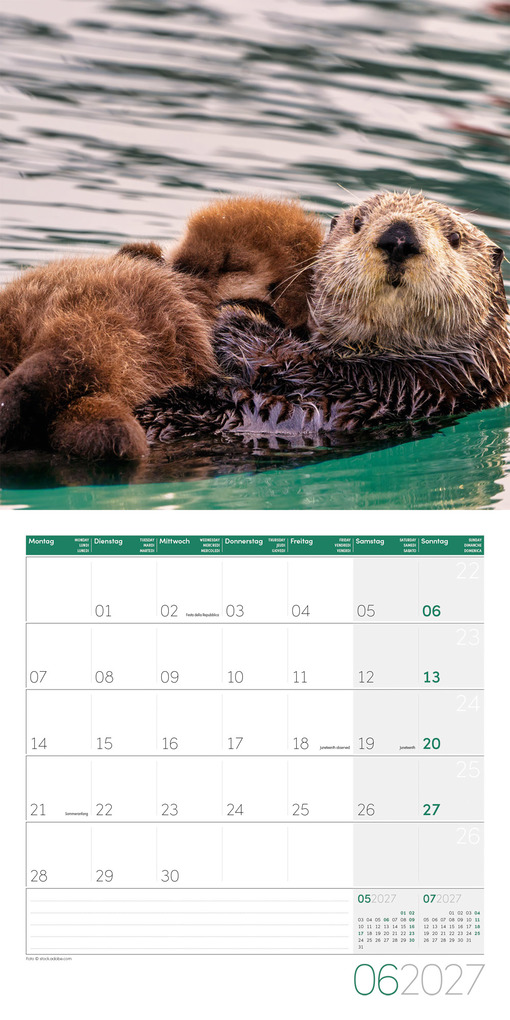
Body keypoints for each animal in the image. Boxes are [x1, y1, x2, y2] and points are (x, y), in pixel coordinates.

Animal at [140, 192, 510, 441]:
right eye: (358, 223)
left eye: (455, 238)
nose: (399, 237)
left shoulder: (410, 386)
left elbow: (295, 364)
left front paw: (234, 315)